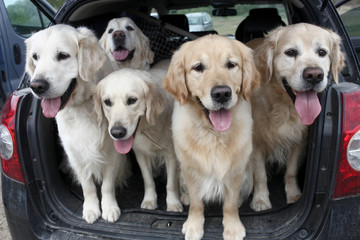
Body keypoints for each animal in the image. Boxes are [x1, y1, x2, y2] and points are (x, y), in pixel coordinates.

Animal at [25, 23, 129, 223]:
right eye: (35, 57)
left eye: (63, 55)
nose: (36, 86)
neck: (83, 105)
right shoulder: (75, 152)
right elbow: (87, 185)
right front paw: (91, 209)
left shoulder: (113, 151)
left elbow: (107, 184)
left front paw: (109, 208)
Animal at [93, 65, 183, 212]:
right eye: (107, 102)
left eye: (132, 100)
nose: (117, 132)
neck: (149, 126)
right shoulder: (140, 153)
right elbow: (148, 179)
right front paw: (149, 200)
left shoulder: (171, 154)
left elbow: (171, 183)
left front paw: (173, 203)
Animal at [163, 34, 258, 240]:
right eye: (198, 67)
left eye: (231, 64)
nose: (222, 93)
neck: (213, 133)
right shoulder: (190, 171)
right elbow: (196, 202)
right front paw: (194, 225)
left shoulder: (235, 171)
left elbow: (230, 205)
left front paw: (232, 228)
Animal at [246, 22, 344, 211]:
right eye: (290, 52)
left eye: (322, 52)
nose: (314, 75)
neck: (284, 105)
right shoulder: (256, 143)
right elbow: (260, 175)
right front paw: (261, 200)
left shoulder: (299, 140)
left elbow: (291, 172)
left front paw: (293, 195)